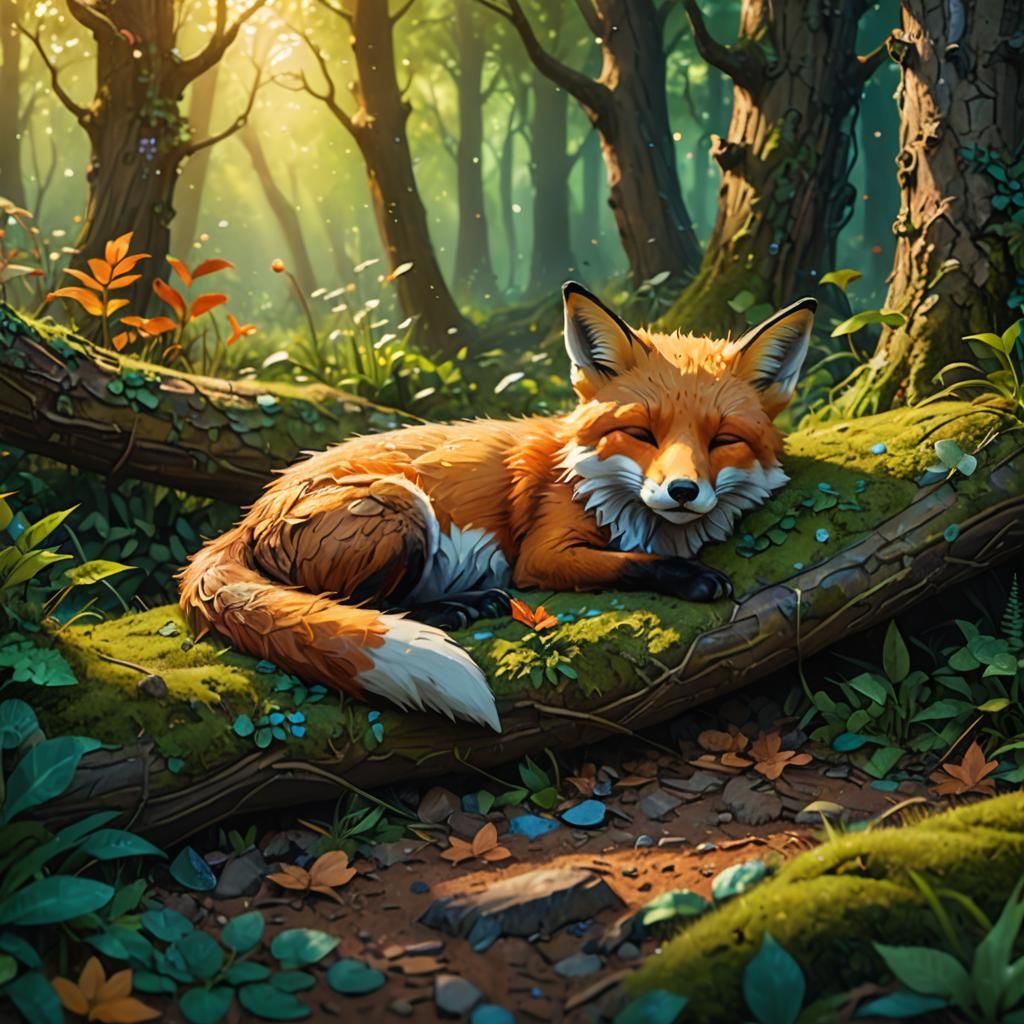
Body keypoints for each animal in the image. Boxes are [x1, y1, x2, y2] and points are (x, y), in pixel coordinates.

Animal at [179, 283, 815, 733]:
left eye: (723, 440)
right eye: (640, 433)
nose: (682, 491)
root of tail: (252, 511)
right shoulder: (543, 553)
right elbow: (632, 562)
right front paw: (691, 575)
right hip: (399, 506)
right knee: (353, 602)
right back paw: (457, 606)